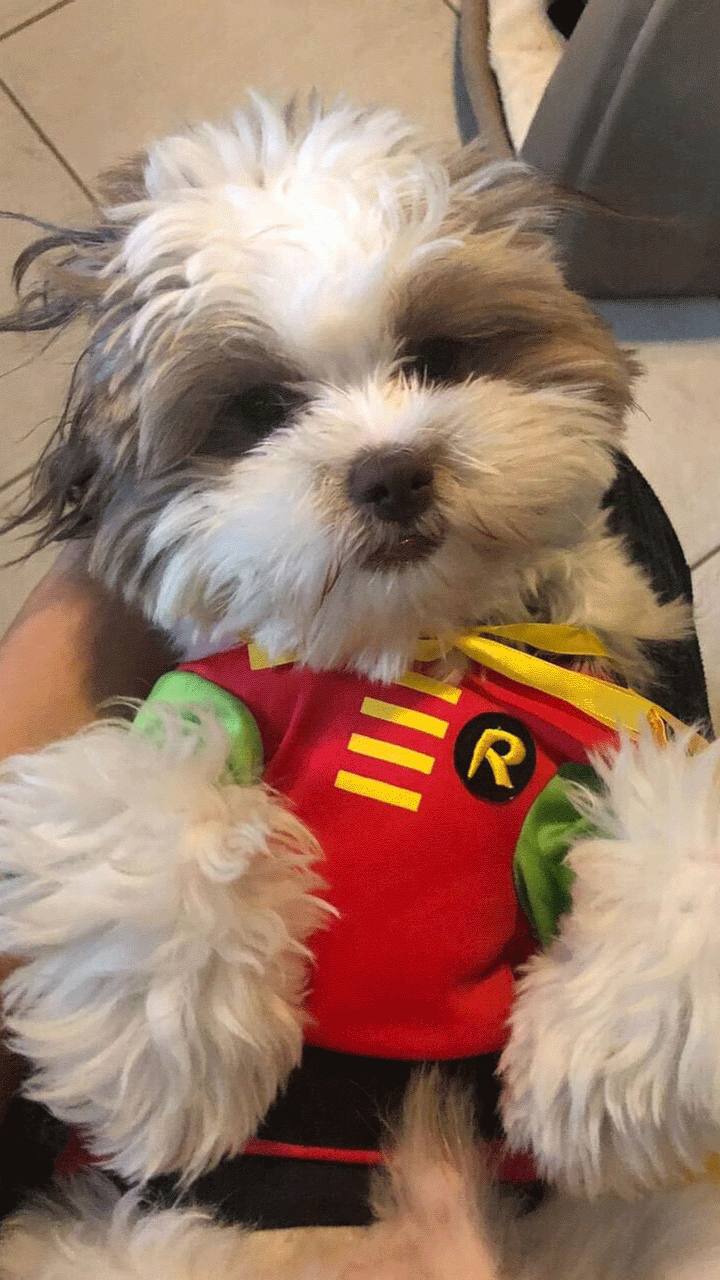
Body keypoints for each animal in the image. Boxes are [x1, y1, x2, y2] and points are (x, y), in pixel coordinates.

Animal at [1, 92, 717, 1280]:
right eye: (256, 410)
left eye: (438, 356)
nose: (392, 471)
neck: (407, 658)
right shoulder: (212, 703)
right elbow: (139, 800)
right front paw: (171, 1065)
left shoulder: (594, 736)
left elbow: (686, 831)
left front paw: (588, 1075)